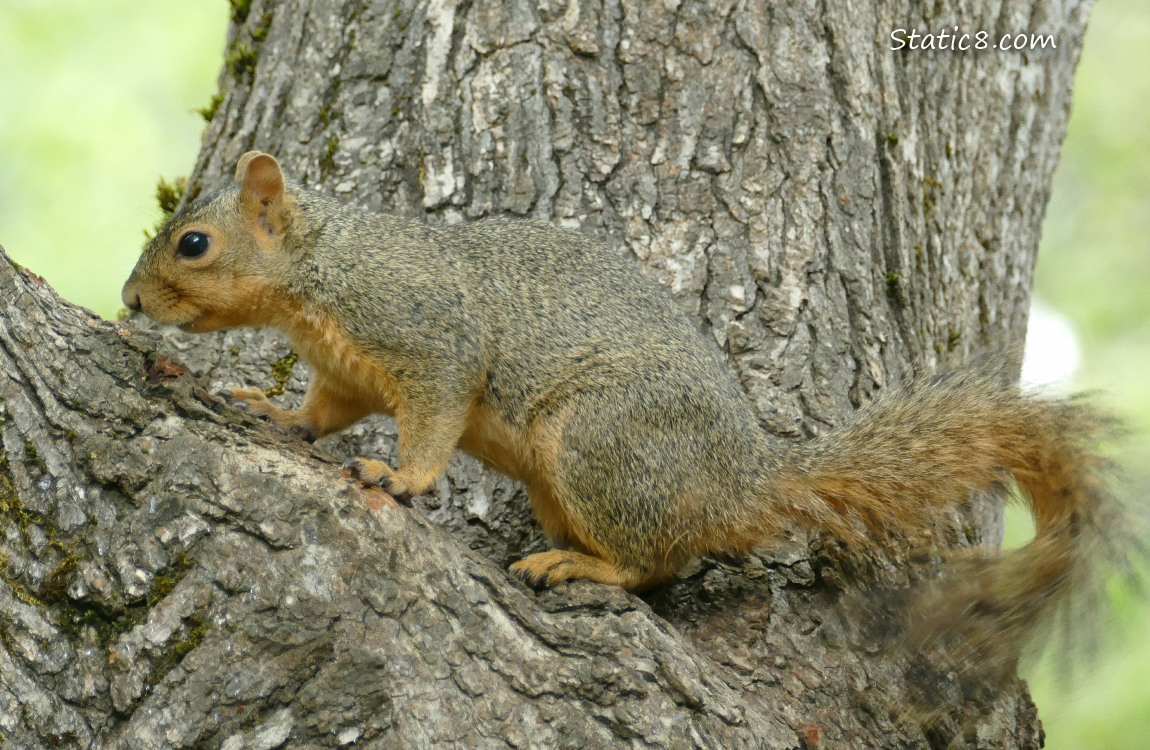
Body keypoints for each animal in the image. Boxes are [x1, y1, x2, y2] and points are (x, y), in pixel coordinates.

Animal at [122, 151, 1127, 658]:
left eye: (193, 243)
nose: (131, 301)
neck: (322, 269)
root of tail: (741, 483)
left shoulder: (429, 337)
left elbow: (438, 417)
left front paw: (400, 479)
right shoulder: (349, 373)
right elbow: (320, 410)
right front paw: (272, 412)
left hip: (598, 442)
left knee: (654, 566)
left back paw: (578, 568)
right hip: (565, 475)